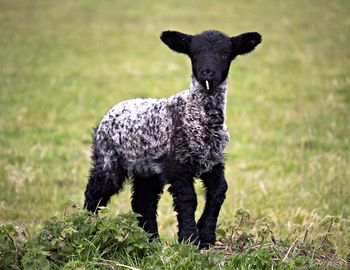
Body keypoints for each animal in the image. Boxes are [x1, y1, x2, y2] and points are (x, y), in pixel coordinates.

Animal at [83, 29, 262, 247]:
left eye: (225, 54)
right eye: (194, 53)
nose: (207, 73)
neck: (199, 117)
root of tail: (111, 111)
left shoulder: (213, 160)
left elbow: (219, 191)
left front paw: (206, 237)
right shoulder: (178, 163)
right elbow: (188, 198)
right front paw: (189, 239)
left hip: (146, 168)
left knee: (143, 202)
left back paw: (152, 241)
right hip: (108, 158)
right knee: (95, 192)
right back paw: (85, 228)